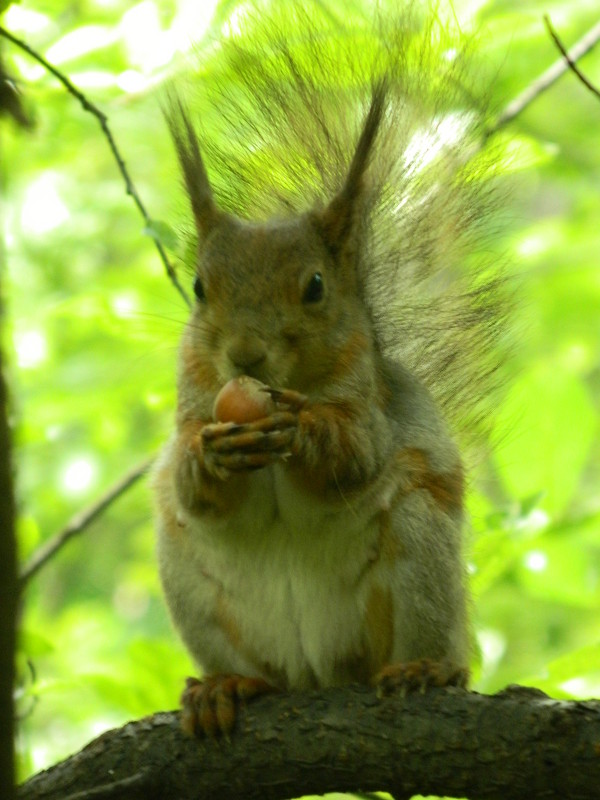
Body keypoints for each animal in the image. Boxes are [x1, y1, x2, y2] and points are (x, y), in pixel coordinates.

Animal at [152, 1, 504, 736]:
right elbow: (194, 485)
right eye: (199, 288)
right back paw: (227, 687)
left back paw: (426, 670)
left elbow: (354, 456)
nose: (244, 356)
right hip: (190, 579)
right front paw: (212, 454)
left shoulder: (368, 406)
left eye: (314, 287)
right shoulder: (191, 399)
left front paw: (303, 428)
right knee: (253, 663)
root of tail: (317, 672)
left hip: (419, 552)